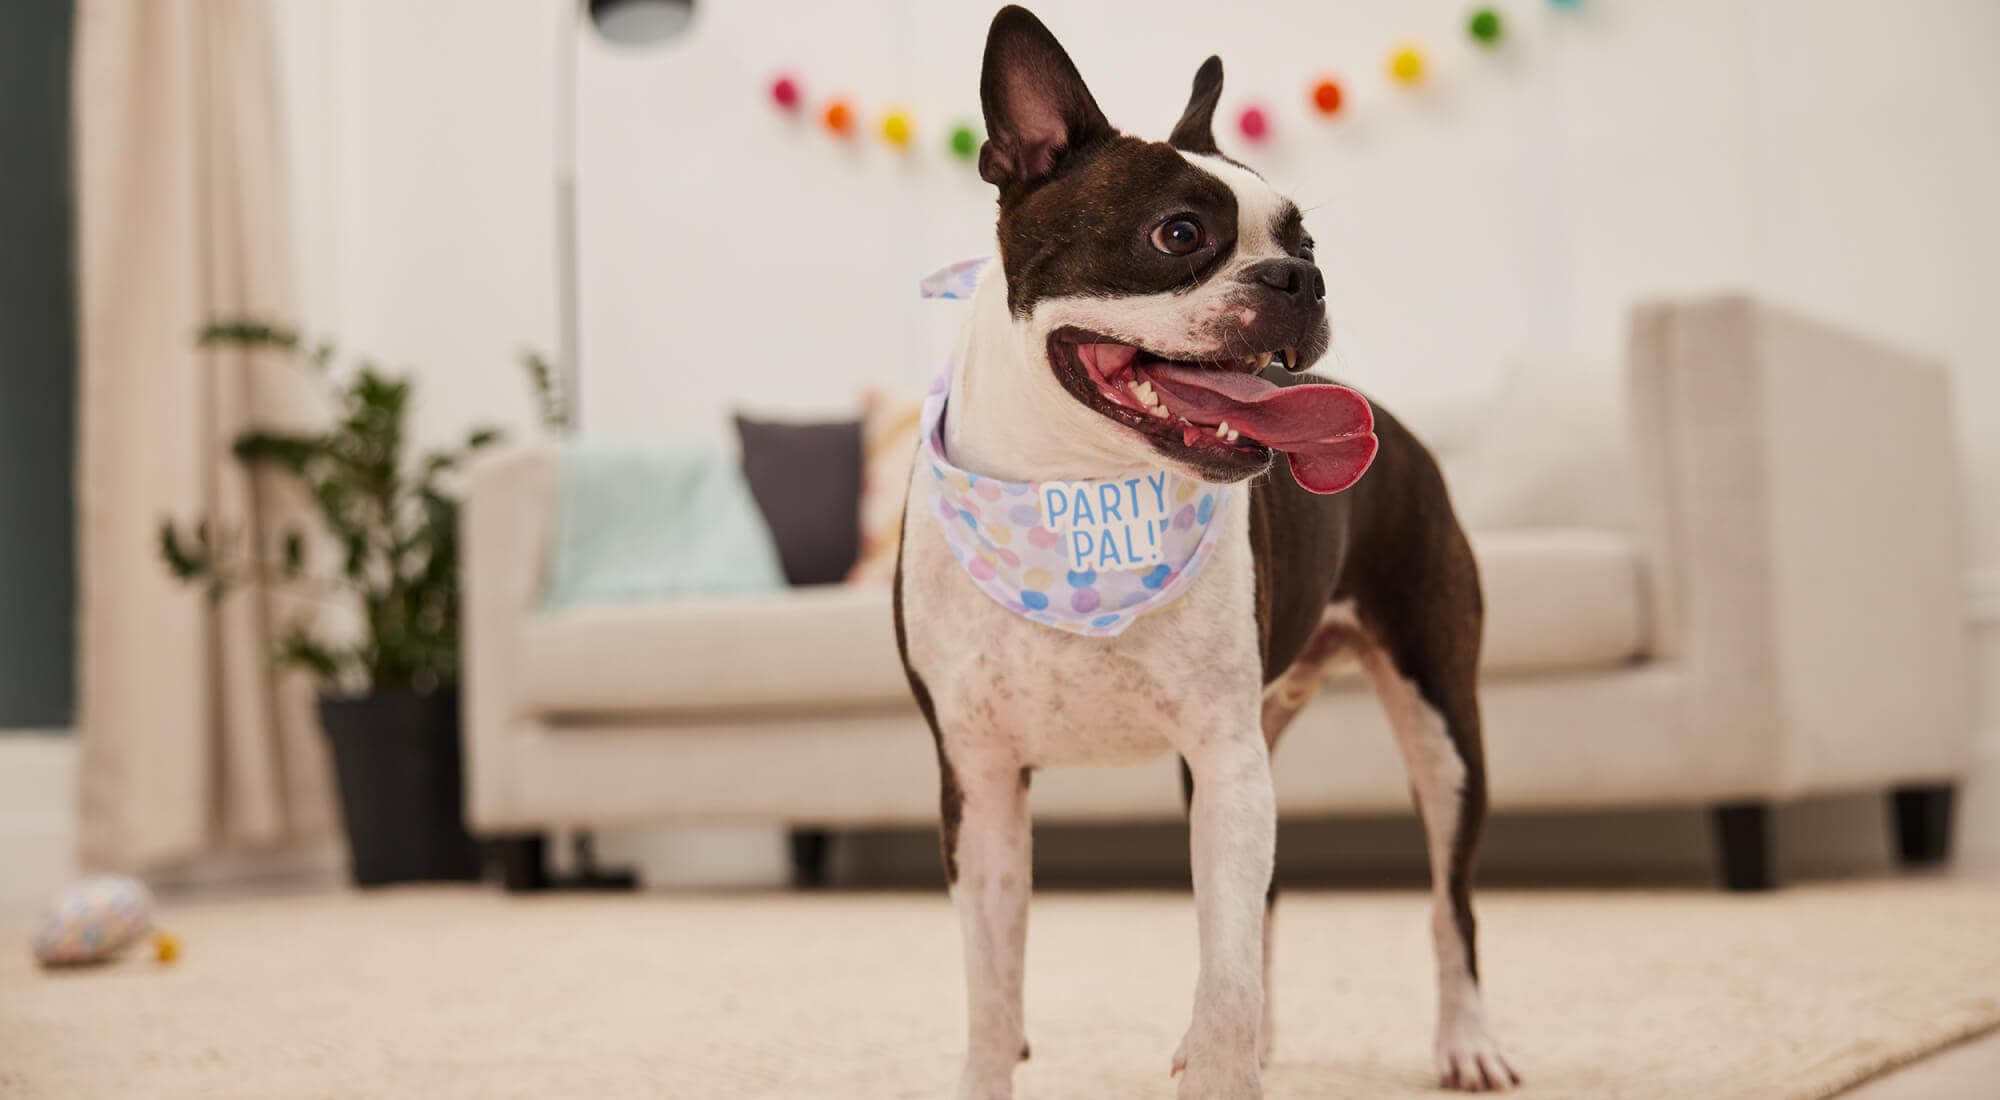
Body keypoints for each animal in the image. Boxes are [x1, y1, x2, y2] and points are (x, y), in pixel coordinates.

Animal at [892, 6, 1512, 1096]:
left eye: (1306, 239)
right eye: (1177, 234)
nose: (1301, 277)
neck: (1073, 490)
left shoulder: (1223, 758)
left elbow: (1223, 979)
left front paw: (1224, 1063)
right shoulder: (978, 776)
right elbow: (992, 992)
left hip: (1440, 722)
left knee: (1450, 899)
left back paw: (1464, 1039)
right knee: (1268, 904)